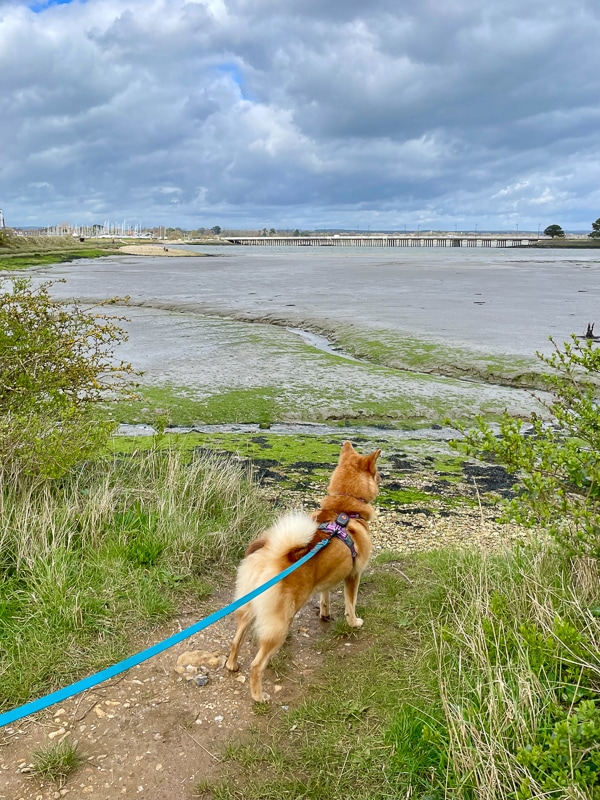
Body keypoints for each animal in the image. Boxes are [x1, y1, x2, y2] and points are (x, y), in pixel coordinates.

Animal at [225, 444, 380, 700]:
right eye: (377, 471)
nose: (383, 477)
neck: (345, 509)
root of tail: (273, 556)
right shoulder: (353, 575)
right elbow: (351, 604)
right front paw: (354, 622)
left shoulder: (328, 578)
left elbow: (325, 596)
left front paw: (325, 614)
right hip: (280, 622)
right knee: (257, 664)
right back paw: (259, 696)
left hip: (248, 609)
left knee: (236, 639)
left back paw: (231, 664)